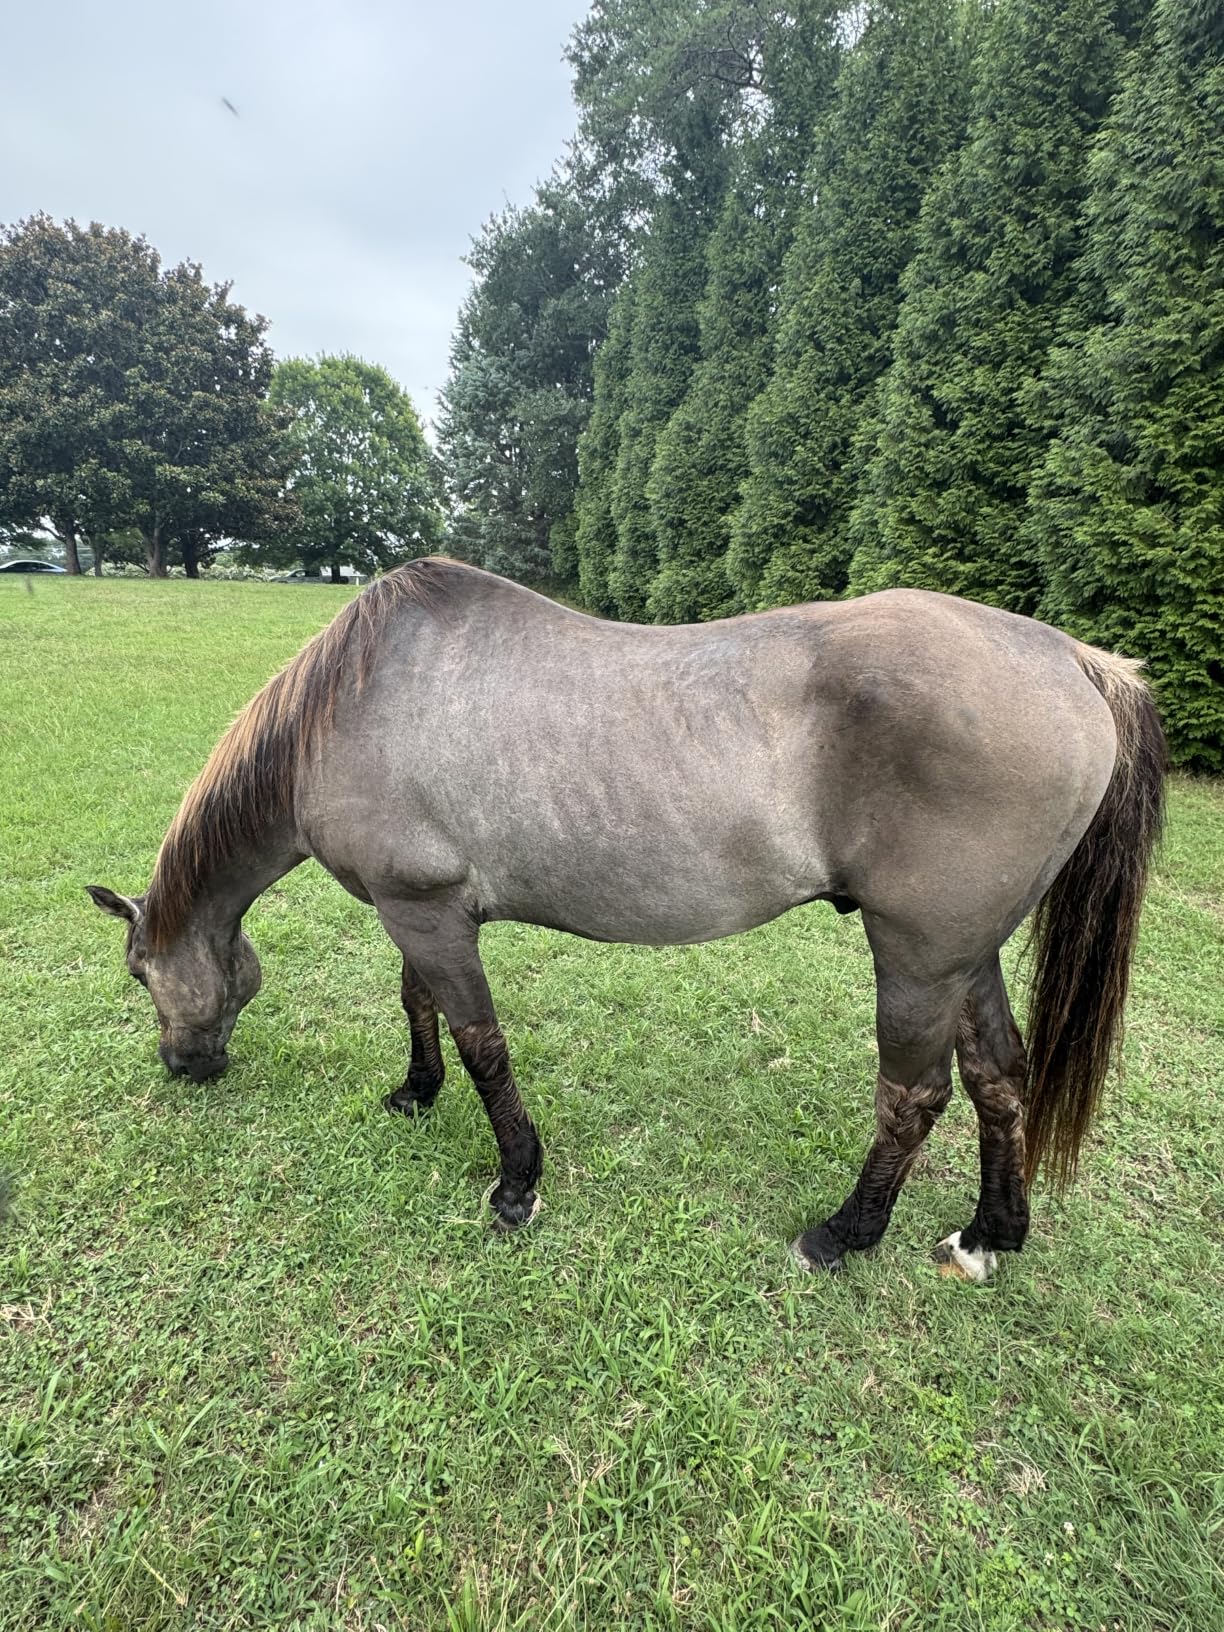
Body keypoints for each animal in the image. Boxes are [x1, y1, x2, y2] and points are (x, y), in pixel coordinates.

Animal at [88, 557, 1165, 1282]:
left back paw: (844, 1233)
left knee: (916, 1097)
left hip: (917, 957)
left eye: (141, 971)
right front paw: (414, 1092)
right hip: (965, 954)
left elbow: (481, 1043)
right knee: (998, 1079)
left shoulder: (425, 912)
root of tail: (1071, 658)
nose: (183, 1064)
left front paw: (516, 1183)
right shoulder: (417, 912)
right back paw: (988, 1235)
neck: (350, 706)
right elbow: (417, 1005)